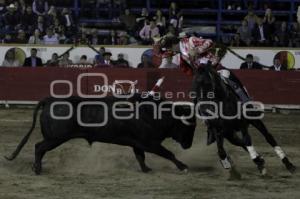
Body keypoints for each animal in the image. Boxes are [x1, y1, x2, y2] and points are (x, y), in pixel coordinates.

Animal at [5, 95, 197, 174]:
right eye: (188, 126)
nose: (188, 145)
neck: (151, 113)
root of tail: (50, 100)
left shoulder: (138, 143)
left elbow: (140, 157)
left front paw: (146, 169)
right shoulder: (150, 143)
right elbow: (169, 153)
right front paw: (184, 167)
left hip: (54, 138)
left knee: (40, 148)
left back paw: (36, 167)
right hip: (55, 138)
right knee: (39, 147)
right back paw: (38, 169)